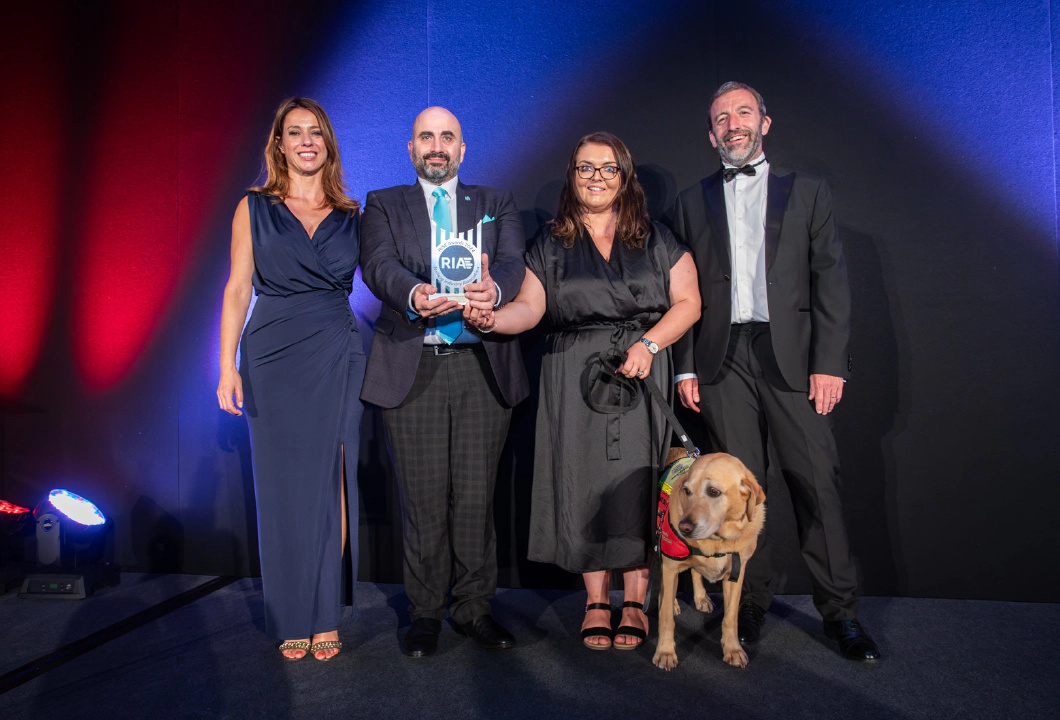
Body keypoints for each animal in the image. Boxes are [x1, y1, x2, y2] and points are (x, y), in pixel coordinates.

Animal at [648, 453, 767, 674]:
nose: (683, 528)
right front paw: (665, 652)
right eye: (687, 491)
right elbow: (666, 618)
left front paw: (733, 649)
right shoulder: (670, 565)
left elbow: (730, 618)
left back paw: (701, 597)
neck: (718, 540)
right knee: (666, 589)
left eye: (713, 491)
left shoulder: (736, 574)